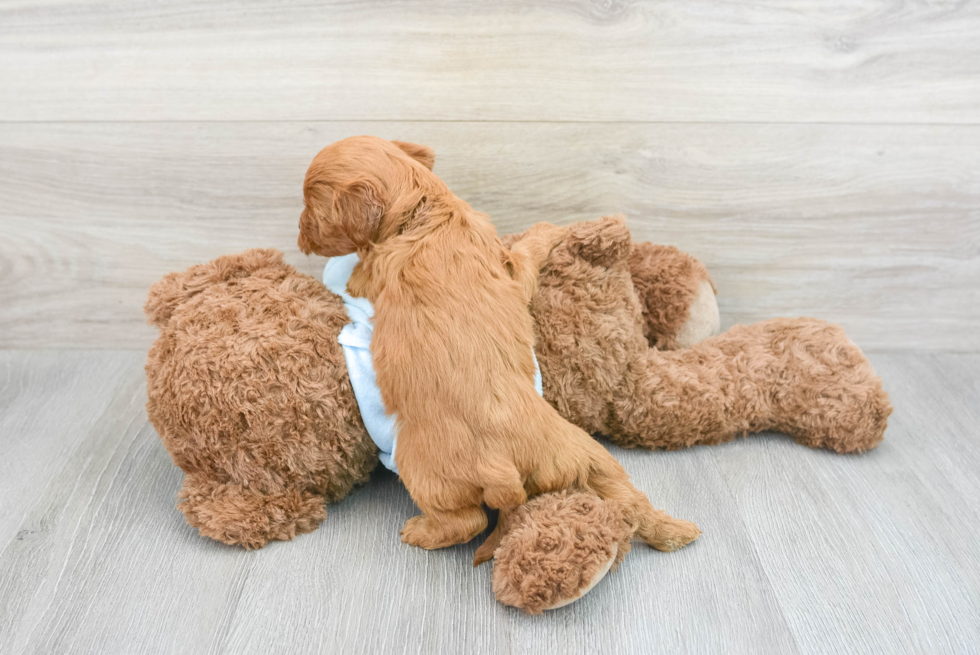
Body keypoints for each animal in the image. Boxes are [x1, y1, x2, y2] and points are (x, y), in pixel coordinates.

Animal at [294, 137, 700, 552]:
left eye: (311, 205)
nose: (298, 233)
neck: (422, 212)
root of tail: (506, 470)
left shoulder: (370, 275)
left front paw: (543, 228)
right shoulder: (508, 272)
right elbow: (524, 256)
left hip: (420, 467)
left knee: (466, 521)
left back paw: (420, 532)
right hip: (588, 452)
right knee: (628, 499)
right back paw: (675, 531)